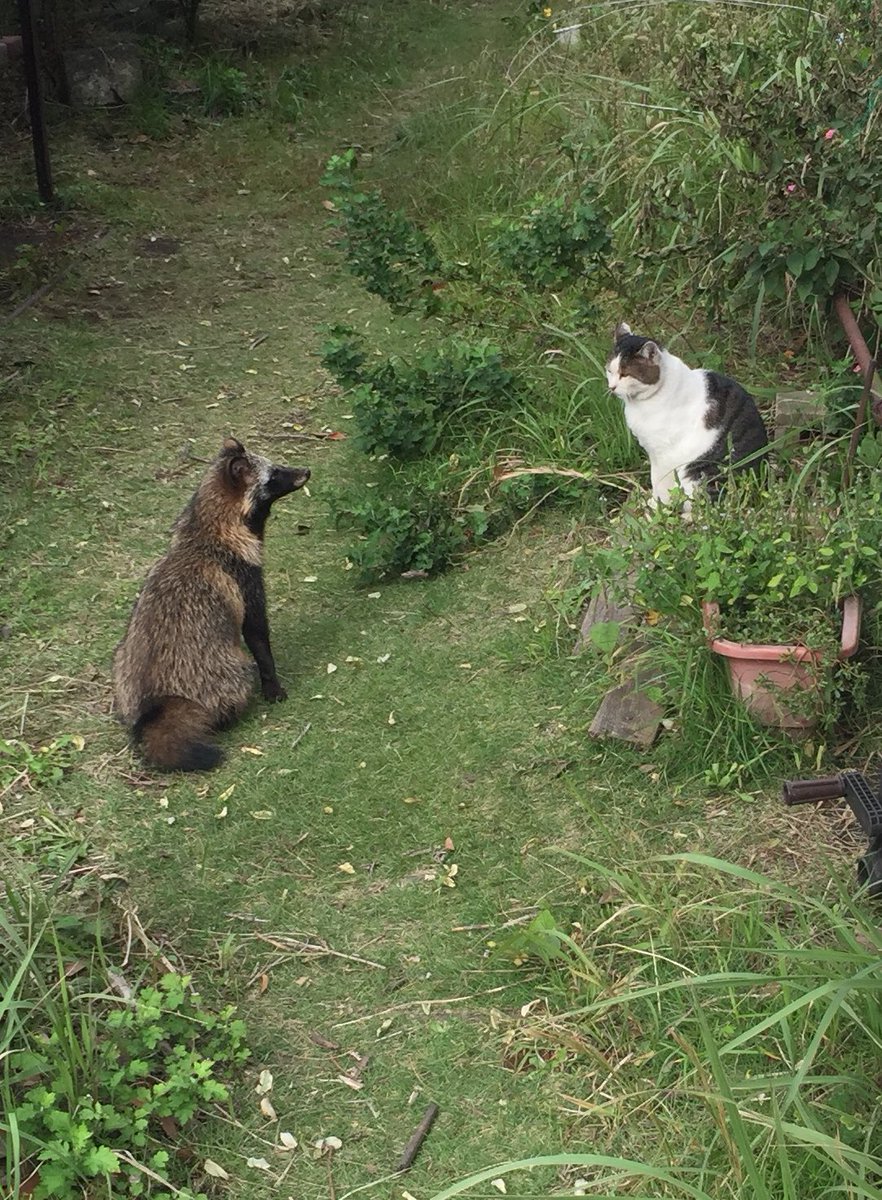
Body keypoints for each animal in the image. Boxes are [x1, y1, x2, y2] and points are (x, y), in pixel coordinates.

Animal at [112, 439, 309, 768]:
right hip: (226, 670)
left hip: (121, 661)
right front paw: (272, 684)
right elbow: (257, 635)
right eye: (274, 473)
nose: (306, 470)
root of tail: (158, 702)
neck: (207, 532)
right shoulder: (245, 580)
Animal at [604, 321, 768, 504]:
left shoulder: (664, 454)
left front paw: (657, 505)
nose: (611, 387)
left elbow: (659, 482)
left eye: (625, 374)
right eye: (609, 370)